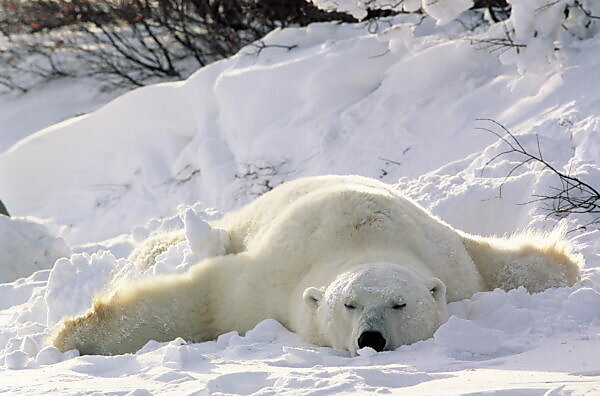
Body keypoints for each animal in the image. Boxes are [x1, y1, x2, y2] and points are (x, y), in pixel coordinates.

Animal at [51, 175, 580, 354]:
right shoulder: (264, 280)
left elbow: (519, 267)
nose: (371, 339)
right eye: (348, 304)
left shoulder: (450, 257)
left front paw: (568, 260)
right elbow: (200, 300)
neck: (367, 240)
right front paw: (71, 336)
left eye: (400, 304)